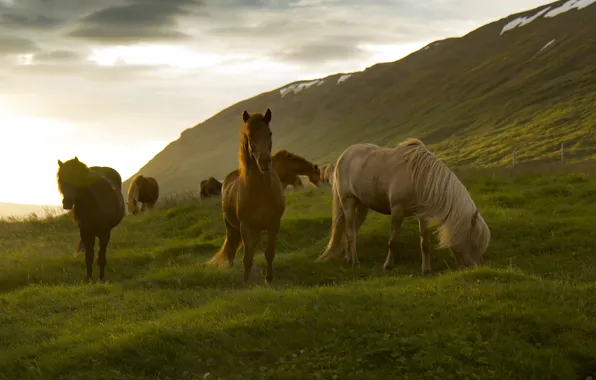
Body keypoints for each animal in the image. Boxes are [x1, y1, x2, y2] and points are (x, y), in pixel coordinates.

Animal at [206, 108, 286, 284]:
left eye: (269, 133)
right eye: (249, 135)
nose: (264, 161)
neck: (261, 192)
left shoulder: (274, 224)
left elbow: (269, 253)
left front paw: (269, 279)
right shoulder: (246, 227)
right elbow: (247, 258)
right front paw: (246, 282)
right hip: (232, 227)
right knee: (231, 248)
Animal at [316, 138, 488, 274]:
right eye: (474, 241)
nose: (476, 267)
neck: (419, 178)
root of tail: (343, 156)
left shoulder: (423, 215)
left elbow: (425, 243)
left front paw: (426, 270)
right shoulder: (397, 211)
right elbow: (392, 241)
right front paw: (388, 266)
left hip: (363, 206)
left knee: (351, 231)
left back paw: (348, 257)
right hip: (348, 202)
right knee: (350, 231)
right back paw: (355, 262)